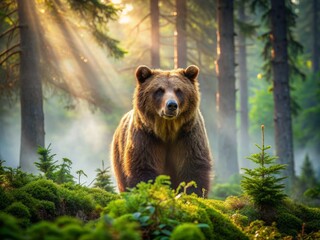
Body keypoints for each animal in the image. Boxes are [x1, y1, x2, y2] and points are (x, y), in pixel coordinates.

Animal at [110, 64, 212, 196]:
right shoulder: (146, 137)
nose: (172, 105)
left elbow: (193, 168)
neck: (167, 130)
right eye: (159, 90)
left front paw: (192, 193)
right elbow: (144, 168)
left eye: (179, 90)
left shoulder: (188, 136)